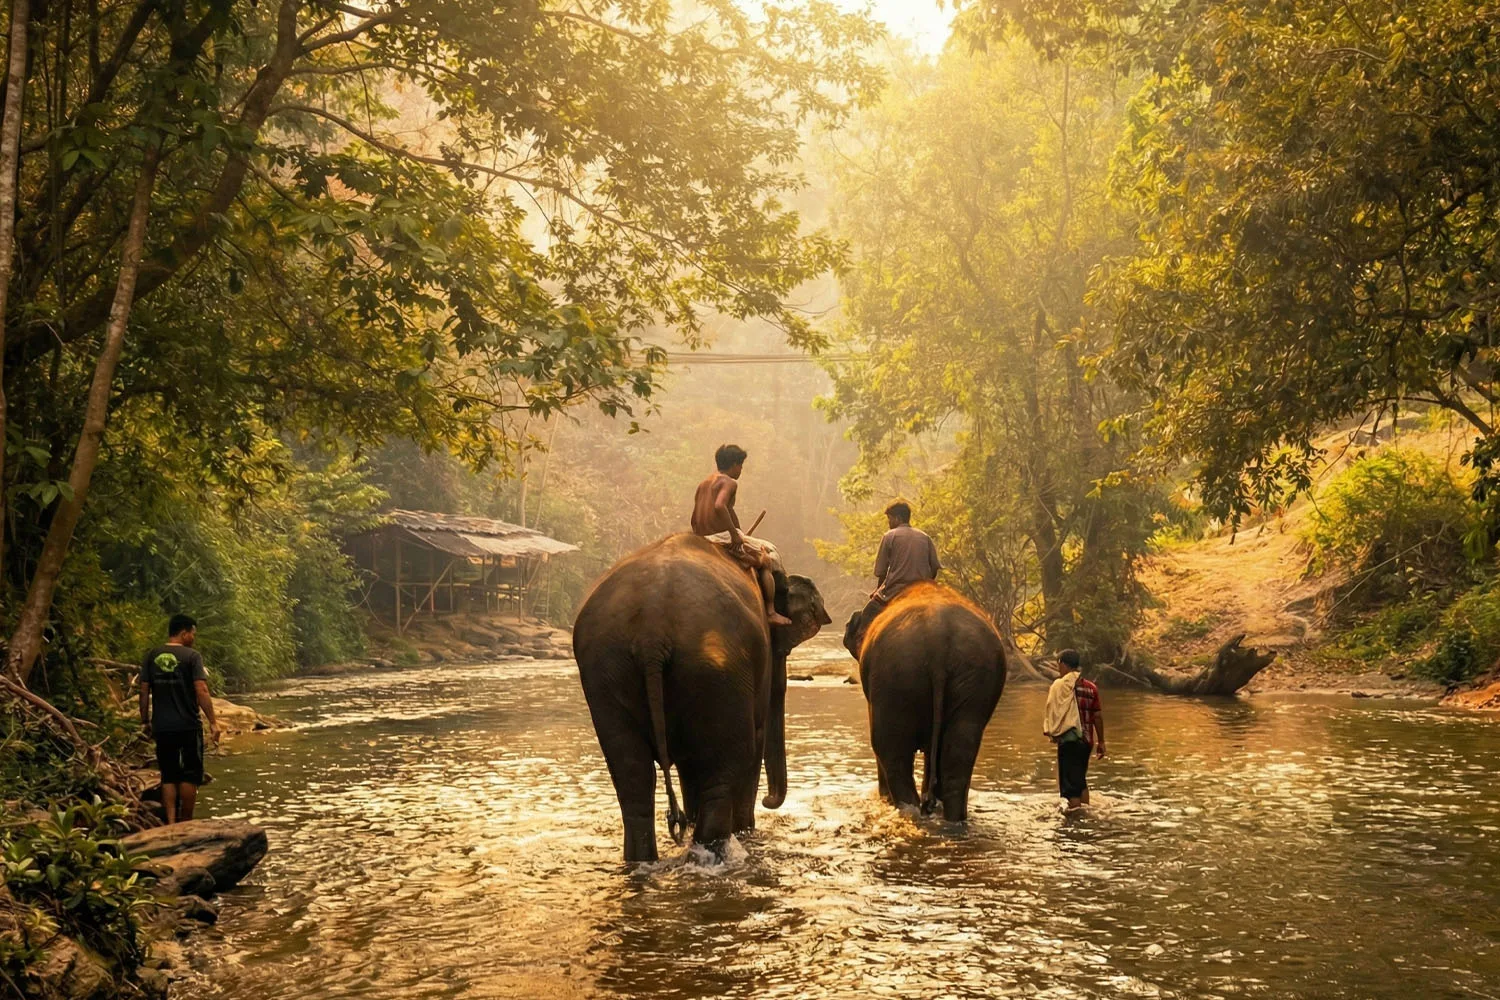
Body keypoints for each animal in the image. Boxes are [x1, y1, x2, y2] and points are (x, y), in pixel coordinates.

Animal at [574, 532, 831, 863]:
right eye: (783, 649)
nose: (768, 800)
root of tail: (651, 633)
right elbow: (754, 742)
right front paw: (746, 829)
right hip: (715, 669)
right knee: (724, 769)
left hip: (607, 670)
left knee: (632, 776)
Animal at [843, 581, 1006, 822]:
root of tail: (938, 640)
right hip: (974, 678)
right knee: (959, 754)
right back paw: (949, 816)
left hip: (895, 676)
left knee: (890, 750)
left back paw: (908, 809)